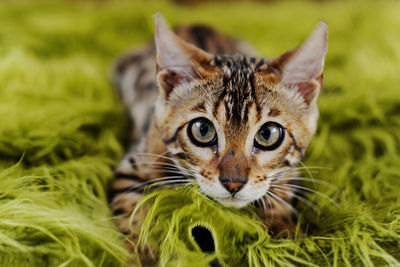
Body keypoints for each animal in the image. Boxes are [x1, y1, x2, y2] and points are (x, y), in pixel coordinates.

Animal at [110, 13, 328, 253]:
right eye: (202, 130)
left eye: (267, 134)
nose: (233, 183)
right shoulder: (133, 165)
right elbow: (133, 217)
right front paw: (141, 253)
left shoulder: (290, 172)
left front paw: (285, 234)